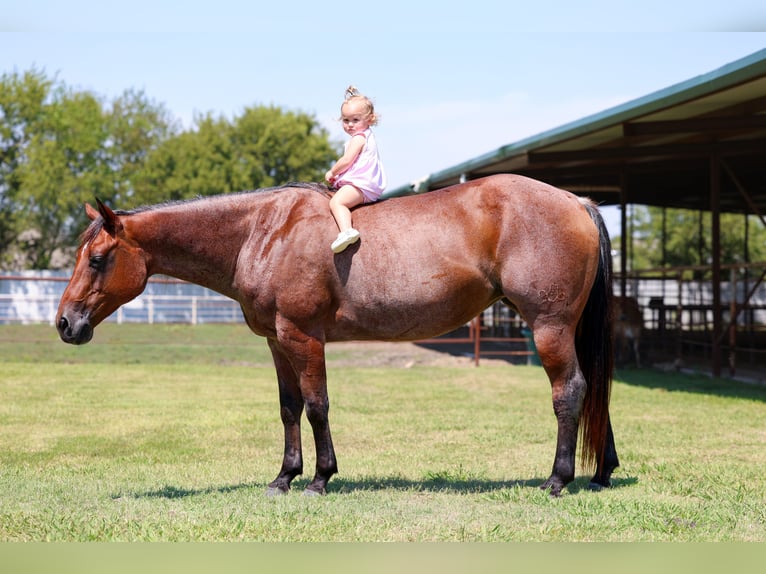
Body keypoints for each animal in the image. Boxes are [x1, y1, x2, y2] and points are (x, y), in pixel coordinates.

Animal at [55, 173, 619, 497]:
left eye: (98, 259)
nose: (64, 324)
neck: (261, 232)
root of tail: (578, 201)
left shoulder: (304, 338)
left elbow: (317, 405)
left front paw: (321, 477)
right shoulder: (276, 341)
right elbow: (288, 408)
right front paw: (284, 477)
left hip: (549, 327)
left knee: (569, 391)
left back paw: (558, 479)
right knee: (594, 390)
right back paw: (601, 472)